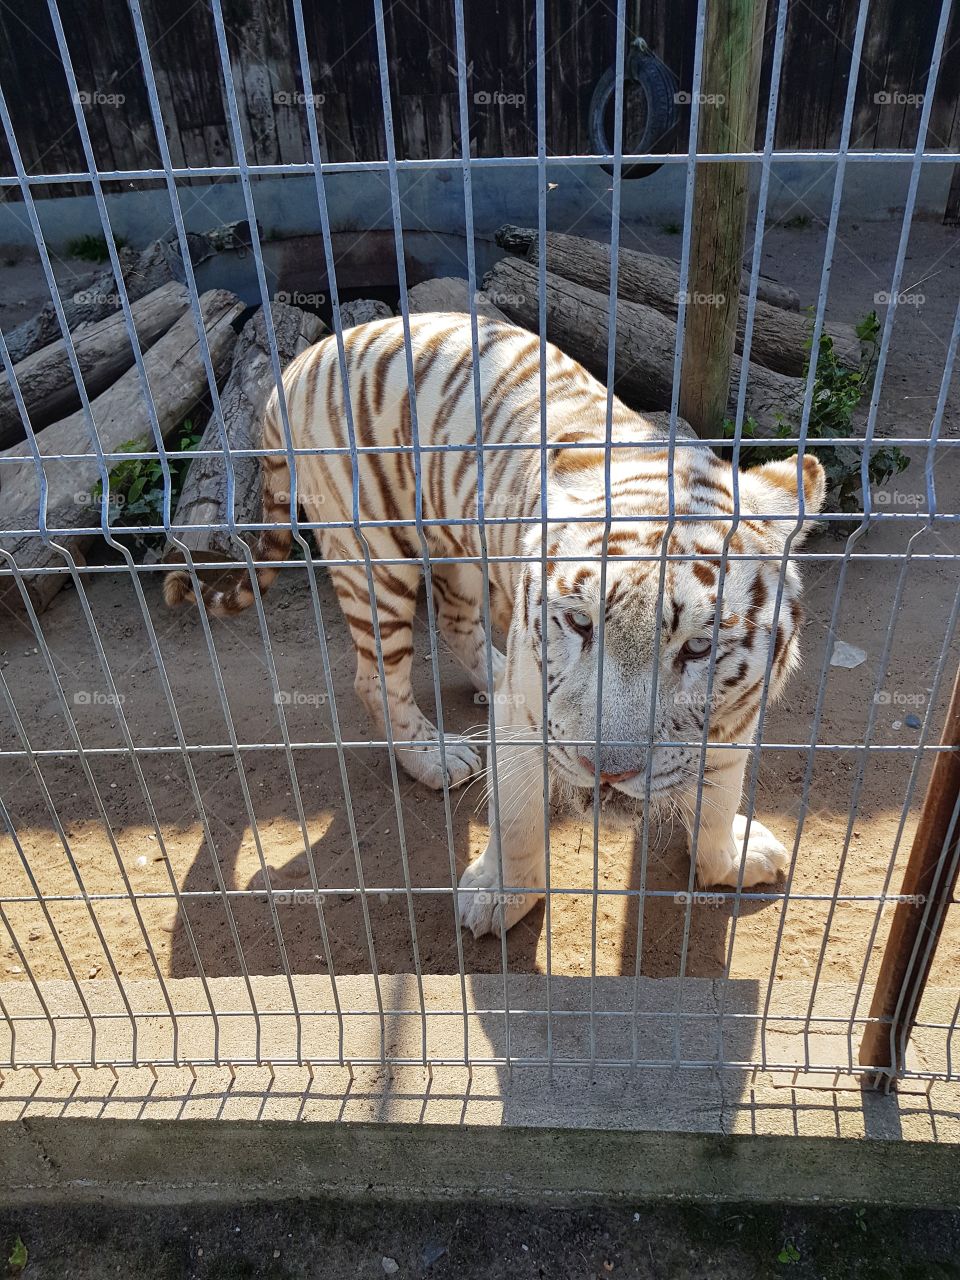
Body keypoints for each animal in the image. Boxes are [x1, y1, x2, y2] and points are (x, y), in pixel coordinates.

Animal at [164, 313, 825, 940]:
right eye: (578, 623)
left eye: (698, 647)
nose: (607, 773)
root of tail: (300, 362)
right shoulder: (526, 722)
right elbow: (516, 814)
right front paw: (499, 897)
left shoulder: (737, 719)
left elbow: (718, 796)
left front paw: (728, 859)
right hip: (375, 557)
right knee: (375, 677)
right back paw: (434, 756)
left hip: (456, 542)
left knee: (457, 623)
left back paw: (493, 675)